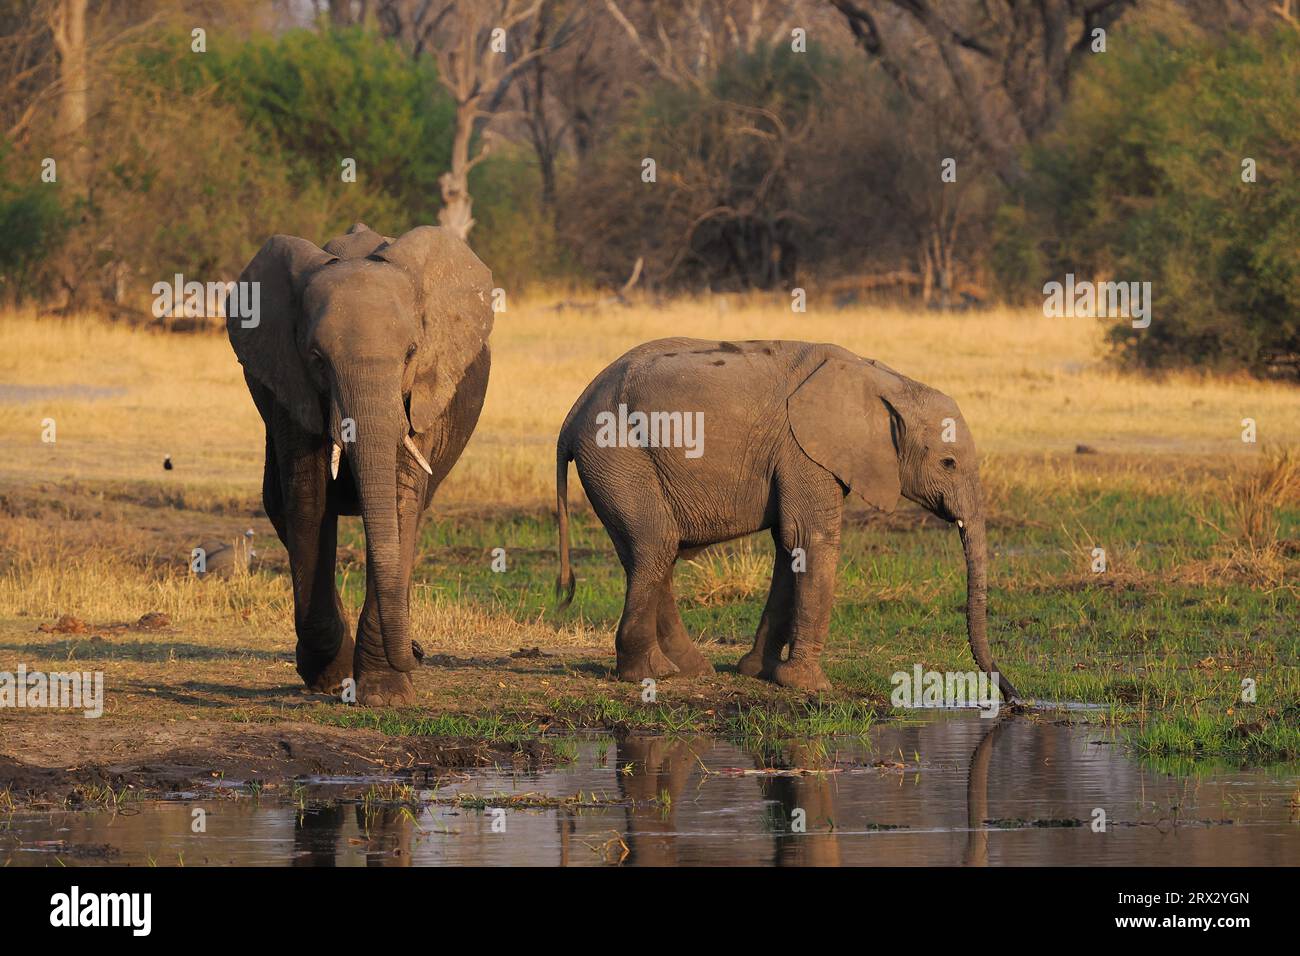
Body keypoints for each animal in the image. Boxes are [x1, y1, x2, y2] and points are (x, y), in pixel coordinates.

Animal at [228, 222, 491, 702]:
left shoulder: (424, 391)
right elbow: (308, 497)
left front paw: (385, 695)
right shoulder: (291, 383)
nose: (420, 651)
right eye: (317, 358)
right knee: (277, 503)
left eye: (411, 352)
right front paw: (330, 677)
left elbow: (402, 500)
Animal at [553, 340, 1019, 697]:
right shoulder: (803, 450)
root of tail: (571, 416)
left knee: (650, 552)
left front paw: (757, 672)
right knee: (656, 546)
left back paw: (688, 670)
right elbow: (811, 539)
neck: (884, 381)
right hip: (617, 455)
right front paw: (810, 686)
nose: (1013, 697)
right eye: (948, 462)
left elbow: (788, 546)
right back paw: (650, 675)